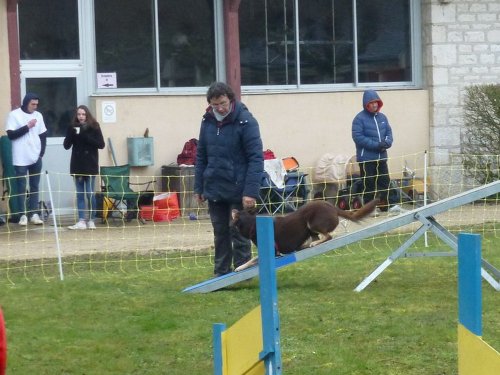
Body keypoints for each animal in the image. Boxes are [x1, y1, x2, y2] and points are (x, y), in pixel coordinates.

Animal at [232, 201, 376, 272]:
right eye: (240, 210)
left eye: (237, 213)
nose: (233, 209)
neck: (252, 224)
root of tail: (333, 207)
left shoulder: (272, 252)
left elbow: (252, 259)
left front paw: (239, 267)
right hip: (310, 230)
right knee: (319, 238)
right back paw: (304, 245)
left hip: (312, 223)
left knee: (328, 236)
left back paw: (312, 244)